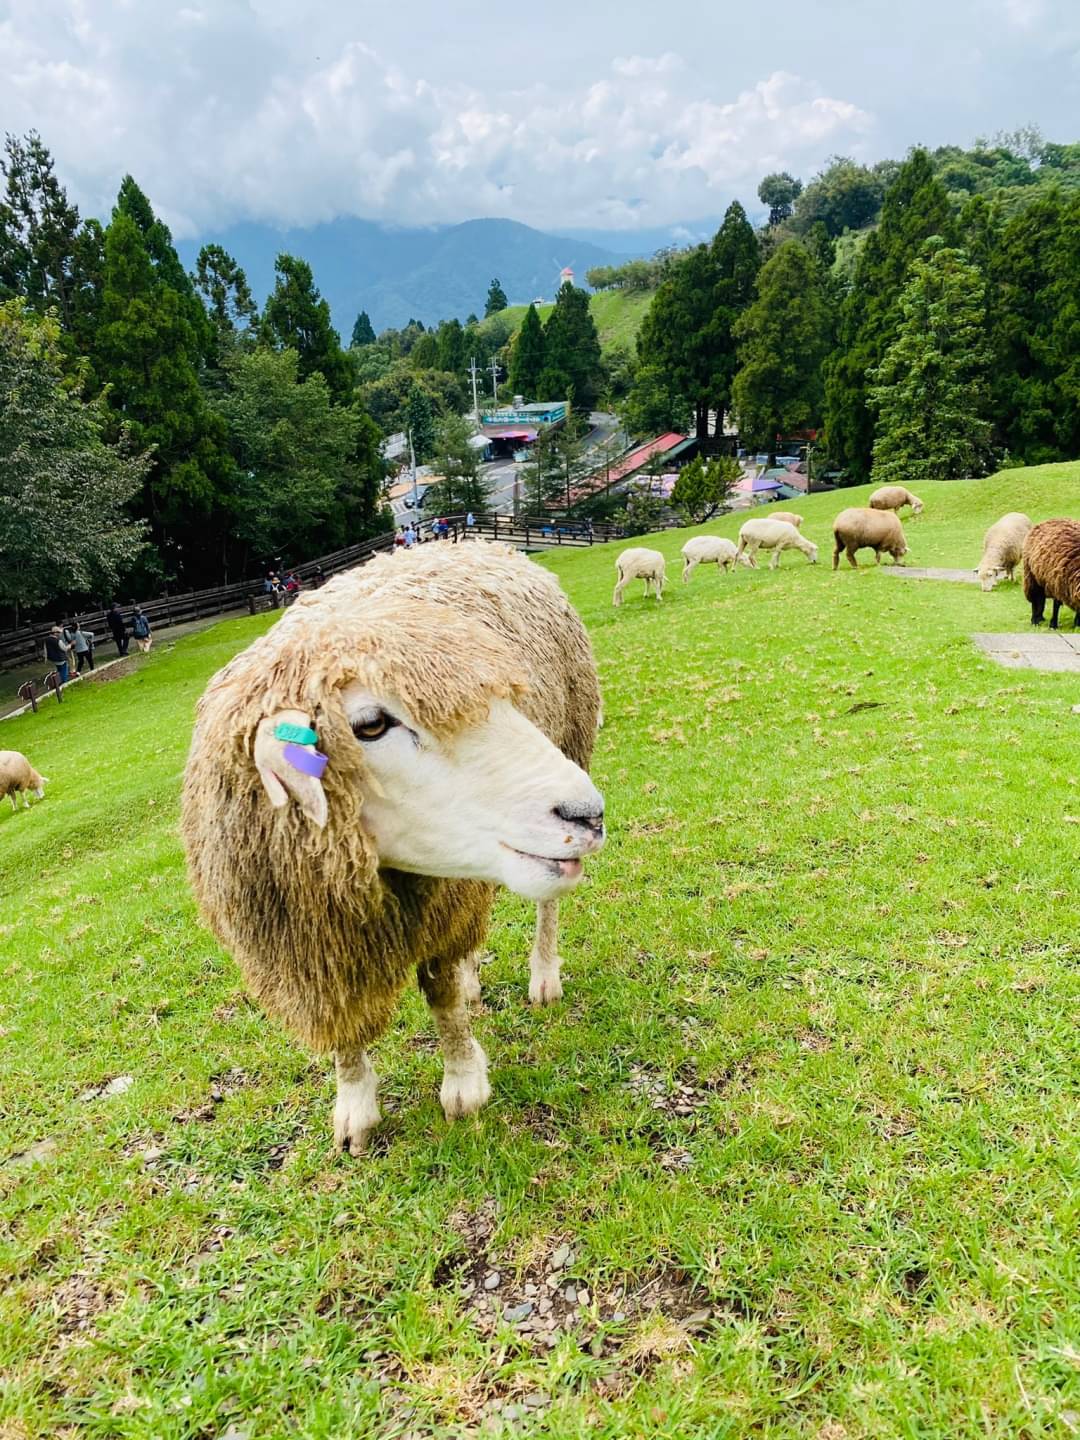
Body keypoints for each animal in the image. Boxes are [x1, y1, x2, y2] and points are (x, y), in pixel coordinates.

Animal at [185, 541, 610, 1157]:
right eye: (369, 724)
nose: (588, 814)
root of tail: (469, 541)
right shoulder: (316, 943)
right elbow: (343, 1024)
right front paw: (354, 1108)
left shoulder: (438, 900)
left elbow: (441, 995)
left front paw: (463, 1084)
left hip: (572, 741)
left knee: (545, 904)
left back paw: (543, 975)